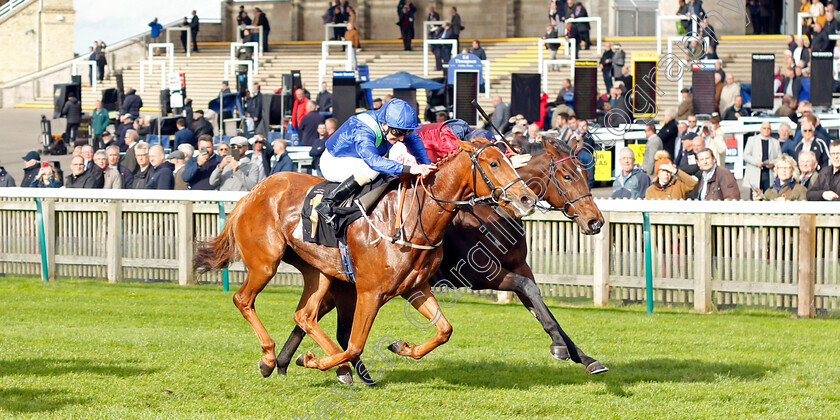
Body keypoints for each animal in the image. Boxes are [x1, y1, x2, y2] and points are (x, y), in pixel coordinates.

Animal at [194, 139, 536, 382]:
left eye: (512, 160)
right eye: (494, 162)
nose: (527, 198)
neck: (412, 217)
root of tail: (251, 193)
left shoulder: (415, 288)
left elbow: (444, 330)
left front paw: (403, 347)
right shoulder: (369, 292)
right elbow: (356, 343)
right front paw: (313, 360)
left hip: (319, 272)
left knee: (304, 315)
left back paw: (333, 367)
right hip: (266, 262)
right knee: (244, 300)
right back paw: (270, 358)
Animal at [276, 135, 612, 384]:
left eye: (586, 175)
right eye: (567, 176)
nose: (595, 221)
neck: (492, 213)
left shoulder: (519, 266)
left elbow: (542, 308)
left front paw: (584, 357)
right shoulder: (481, 274)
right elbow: (529, 292)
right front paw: (561, 348)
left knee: (314, 319)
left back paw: (282, 363)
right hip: (352, 284)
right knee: (326, 323)